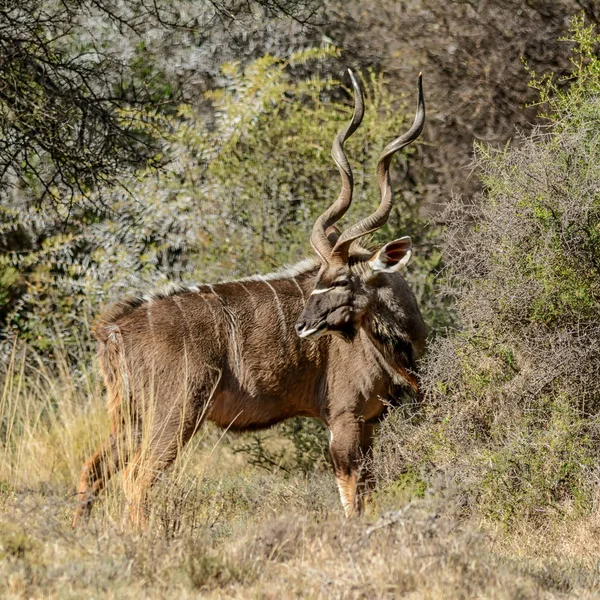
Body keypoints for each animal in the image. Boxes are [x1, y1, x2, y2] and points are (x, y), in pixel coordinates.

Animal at [74, 71, 426, 528]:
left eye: (341, 280)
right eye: (320, 278)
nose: (303, 325)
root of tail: (114, 329)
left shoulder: (369, 422)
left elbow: (365, 489)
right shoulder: (345, 417)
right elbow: (351, 495)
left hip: (131, 418)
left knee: (93, 470)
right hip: (174, 415)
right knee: (138, 479)